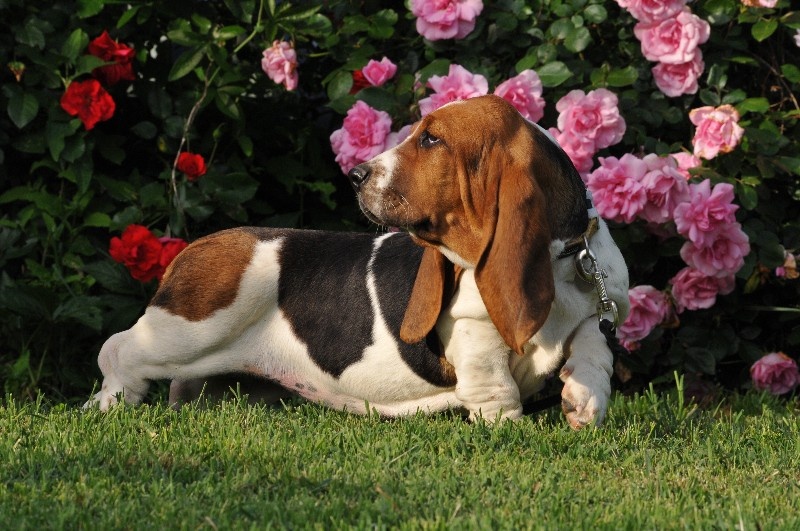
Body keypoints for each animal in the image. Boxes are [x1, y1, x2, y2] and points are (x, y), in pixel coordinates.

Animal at [85, 95, 629, 428]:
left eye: (431, 139)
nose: (355, 175)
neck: (560, 261)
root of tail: (194, 246)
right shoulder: (473, 331)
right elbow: (495, 386)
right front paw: (508, 429)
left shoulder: (599, 310)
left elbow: (592, 345)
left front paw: (584, 399)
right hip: (191, 328)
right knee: (117, 350)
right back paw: (110, 403)